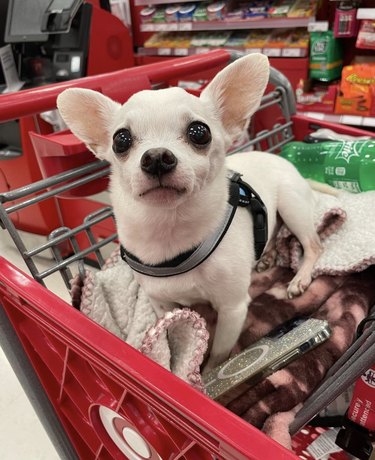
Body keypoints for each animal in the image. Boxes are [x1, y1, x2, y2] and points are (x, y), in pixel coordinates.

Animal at [58, 54, 324, 370]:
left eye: (200, 133)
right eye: (120, 140)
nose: (156, 157)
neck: (170, 229)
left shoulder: (233, 309)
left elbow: (218, 354)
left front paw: (205, 375)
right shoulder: (162, 304)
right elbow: (173, 337)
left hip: (291, 204)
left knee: (314, 245)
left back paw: (300, 278)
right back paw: (267, 256)